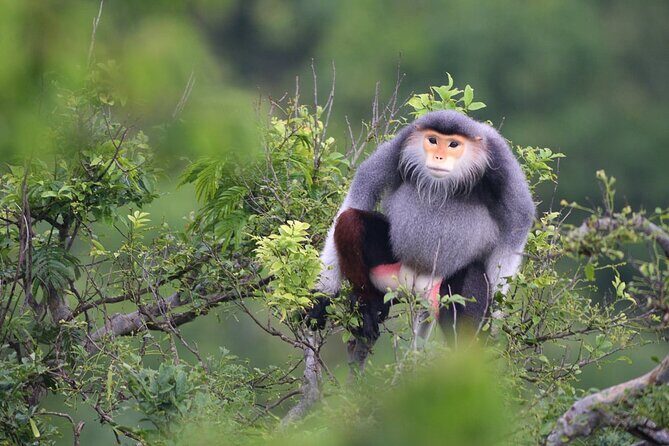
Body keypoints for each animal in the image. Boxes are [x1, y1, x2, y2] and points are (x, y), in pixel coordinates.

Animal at [310, 109, 535, 342]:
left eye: (453, 144)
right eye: (433, 140)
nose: (439, 157)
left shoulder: (500, 158)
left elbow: (519, 220)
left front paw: (495, 319)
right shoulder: (402, 141)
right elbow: (363, 189)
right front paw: (323, 296)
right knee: (349, 221)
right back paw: (369, 306)